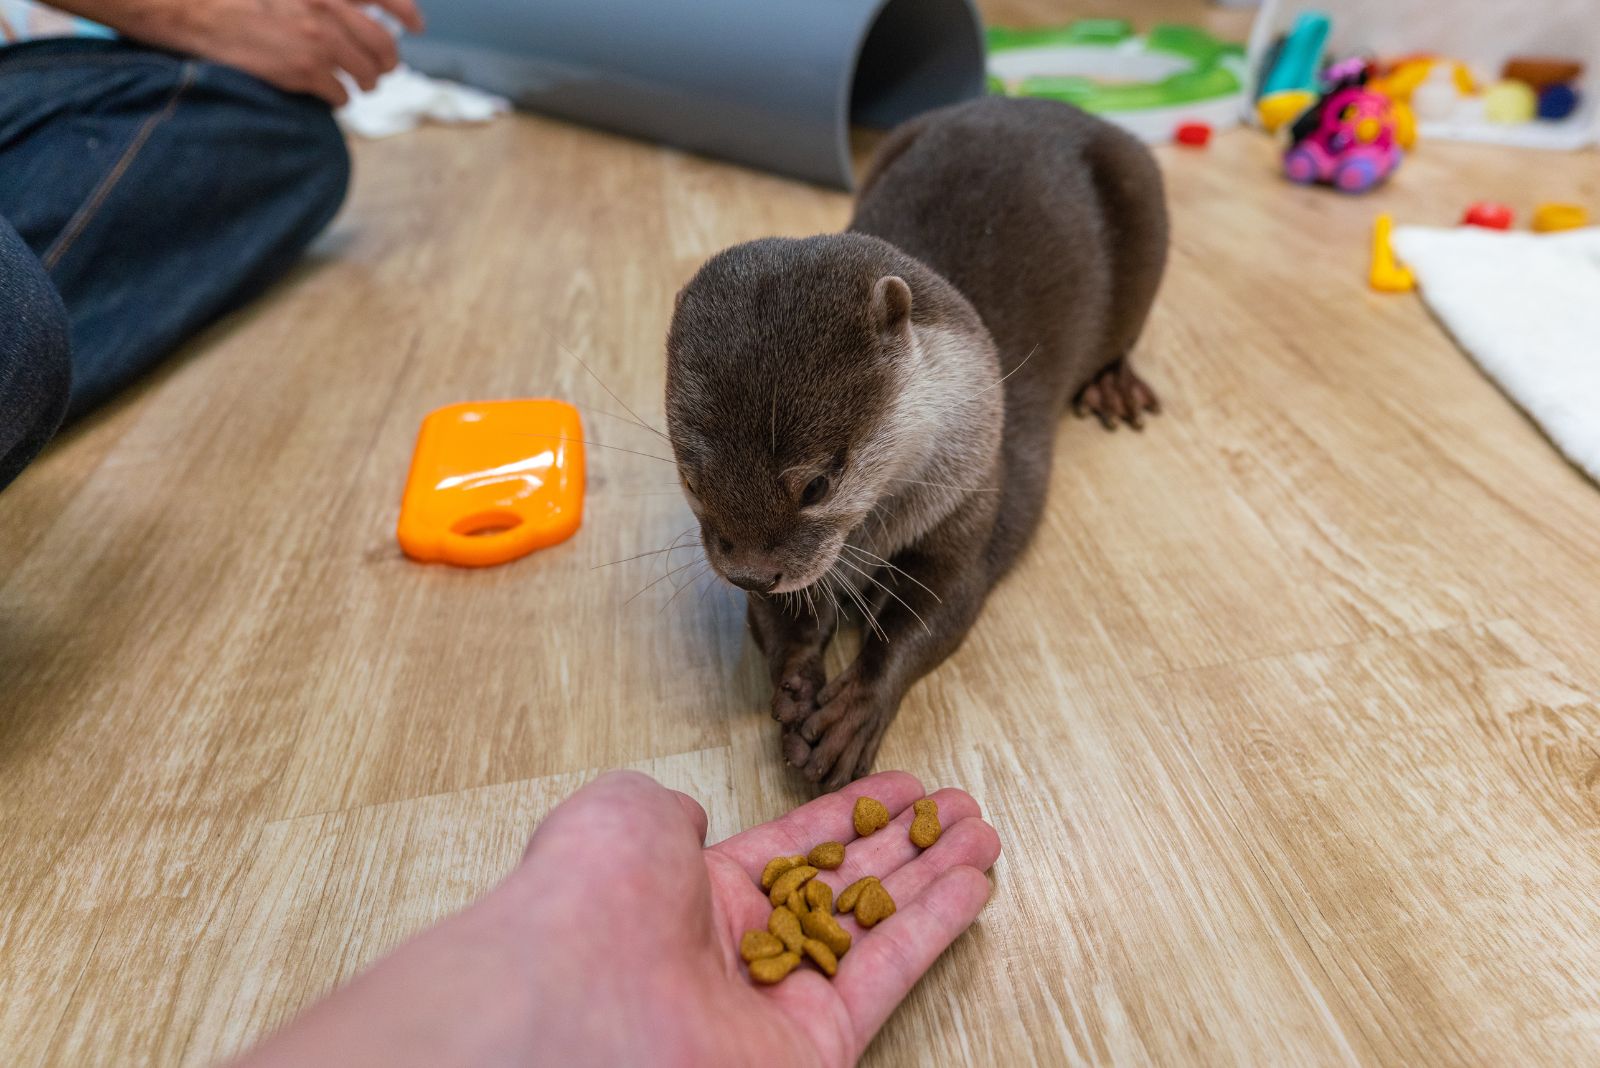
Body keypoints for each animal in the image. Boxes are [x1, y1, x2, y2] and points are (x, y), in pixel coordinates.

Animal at [659, 95, 1164, 789]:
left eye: (818, 484)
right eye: (691, 479)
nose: (751, 574)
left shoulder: (972, 496)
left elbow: (933, 615)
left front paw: (854, 712)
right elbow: (778, 620)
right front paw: (794, 678)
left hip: (1144, 203)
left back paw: (1114, 384)